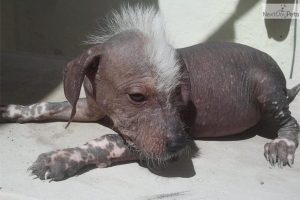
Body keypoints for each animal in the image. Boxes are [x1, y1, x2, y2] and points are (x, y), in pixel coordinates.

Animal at [0, 6, 300, 181]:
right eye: (137, 97)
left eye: (178, 94)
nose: (180, 146)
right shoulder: (91, 106)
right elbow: (46, 106)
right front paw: (12, 110)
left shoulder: (148, 144)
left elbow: (106, 140)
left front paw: (59, 158)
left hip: (267, 91)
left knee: (291, 121)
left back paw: (282, 144)